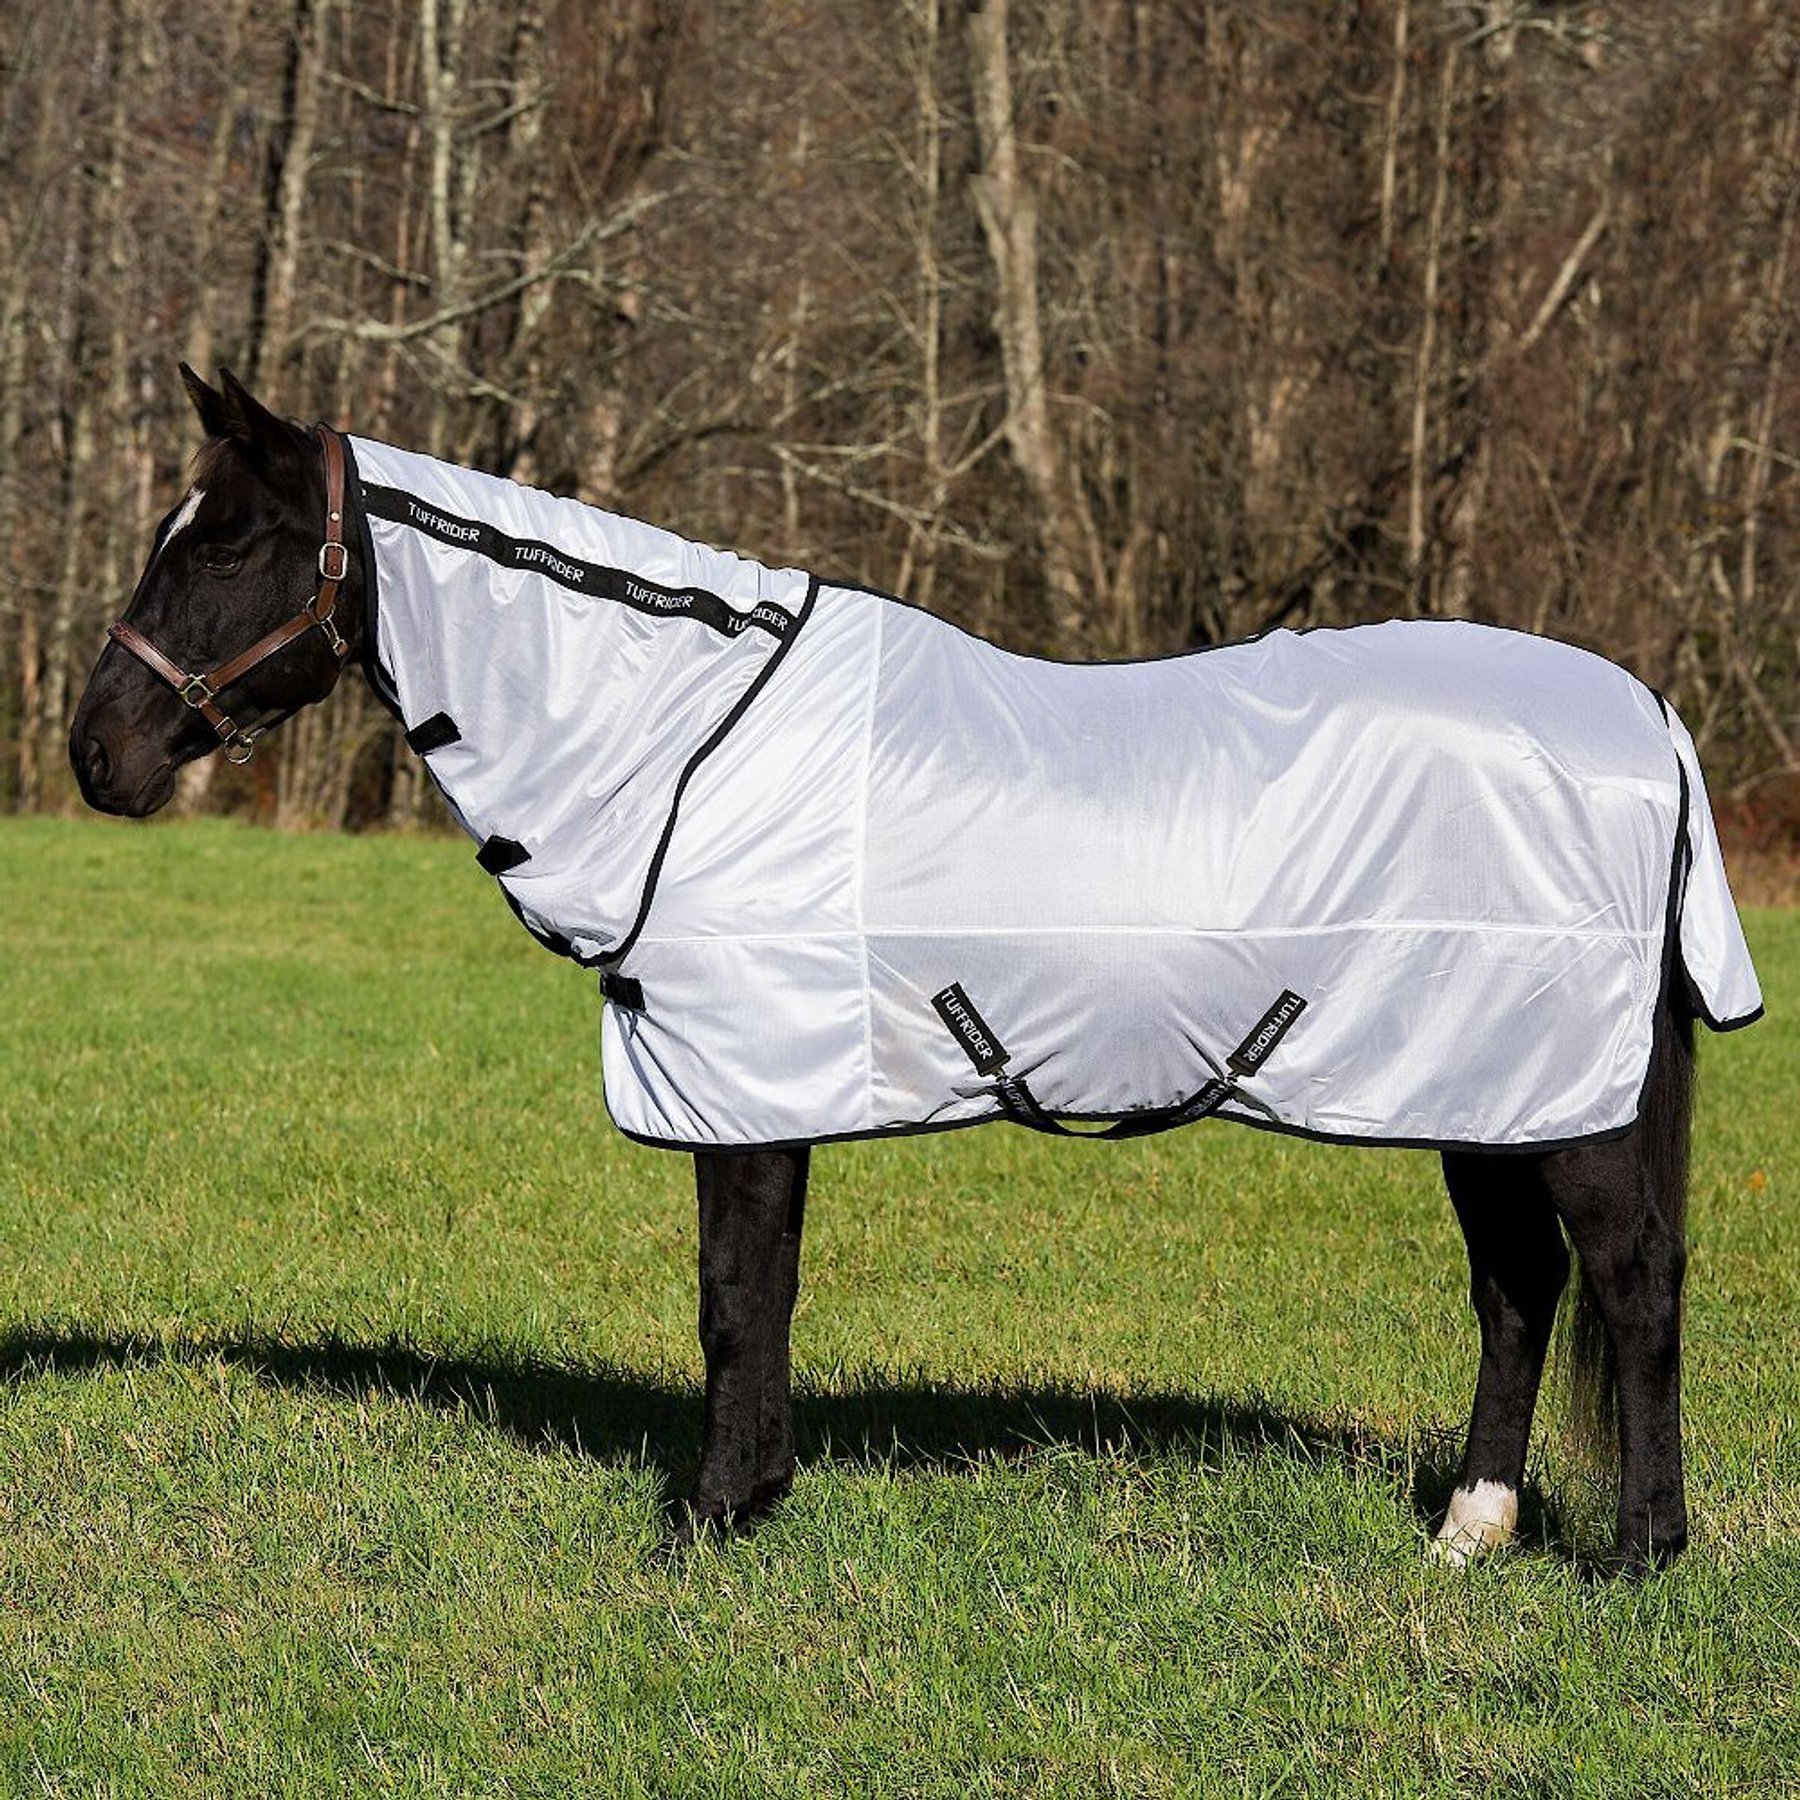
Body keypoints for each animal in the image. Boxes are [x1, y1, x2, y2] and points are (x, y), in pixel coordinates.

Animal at [69, 367, 1762, 1574]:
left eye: (227, 541)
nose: (98, 756)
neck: (688, 742)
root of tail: (1650, 719)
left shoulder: (740, 1078)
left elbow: (731, 1297)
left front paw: (704, 1522)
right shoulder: (769, 1085)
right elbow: (769, 1290)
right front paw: (756, 1495)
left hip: (1561, 1099)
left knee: (1631, 1278)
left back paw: (1639, 1554)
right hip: (1485, 1087)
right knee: (1519, 1286)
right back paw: (1469, 1533)